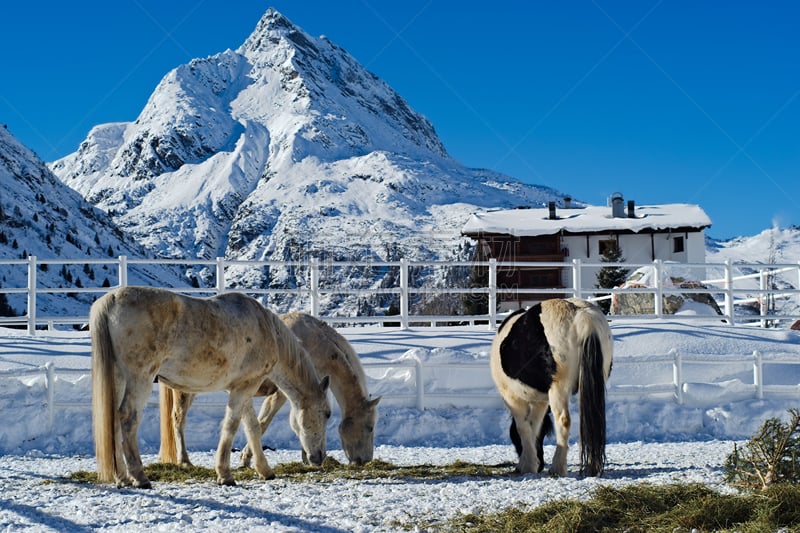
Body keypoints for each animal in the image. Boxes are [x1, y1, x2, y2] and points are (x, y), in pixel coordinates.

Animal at [91, 286, 332, 486]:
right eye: (327, 414)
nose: (320, 457)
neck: (266, 330)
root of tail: (110, 300)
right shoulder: (242, 390)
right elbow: (231, 426)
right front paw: (225, 474)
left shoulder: (244, 388)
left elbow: (252, 428)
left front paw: (264, 470)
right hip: (140, 378)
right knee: (128, 417)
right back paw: (139, 477)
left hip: (118, 377)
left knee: (113, 418)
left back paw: (122, 477)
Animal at [160, 312, 382, 466]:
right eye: (370, 427)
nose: (365, 460)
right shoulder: (281, 393)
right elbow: (265, 422)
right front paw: (246, 458)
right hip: (185, 391)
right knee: (178, 421)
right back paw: (184, 460)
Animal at [488, 298, 612, 476]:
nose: (540, 465)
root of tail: (581, 314)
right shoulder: (541, 401)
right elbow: (535, 427)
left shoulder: (512, 397)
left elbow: (523, 428)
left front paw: (527, 465)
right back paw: (591, 467)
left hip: (559, 389)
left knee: (564, 420)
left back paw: (557, 467)